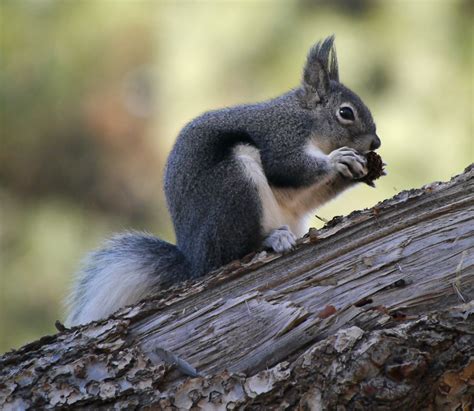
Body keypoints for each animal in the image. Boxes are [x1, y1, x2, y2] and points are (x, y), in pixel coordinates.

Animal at [65, 35, 382, 326]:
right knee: (232, 253)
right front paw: (338, 160)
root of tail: (195, 261)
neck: (304, 117)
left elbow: (306, 194)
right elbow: (288, 167)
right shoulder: (279, 138)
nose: (376, 143)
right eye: (345, 113)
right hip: (234, 185)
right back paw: (269, 240)